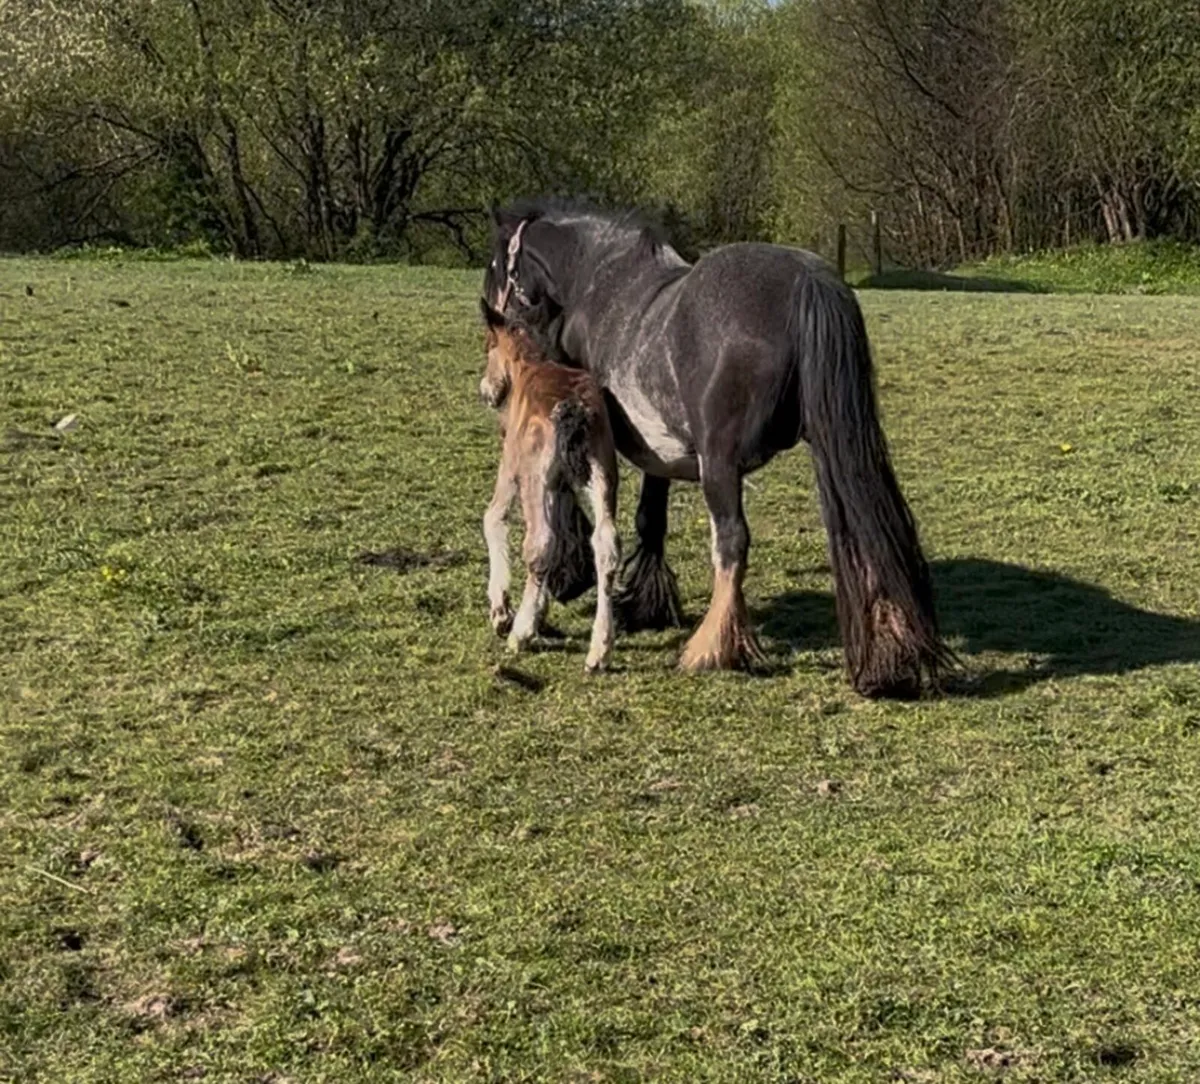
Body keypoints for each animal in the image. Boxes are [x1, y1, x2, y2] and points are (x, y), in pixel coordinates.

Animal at [478, 298, 622, 673]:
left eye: (487, 345)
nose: (486, 391)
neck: (528, 365)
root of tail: (574, 410)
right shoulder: (559, 486)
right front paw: (539, 611)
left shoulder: (512, 466)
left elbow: (493, 517)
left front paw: (502, 612)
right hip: (602, 473)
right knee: (605, 543)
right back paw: (599, 650)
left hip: (534, 478)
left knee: (540, 542)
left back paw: (520, 633)